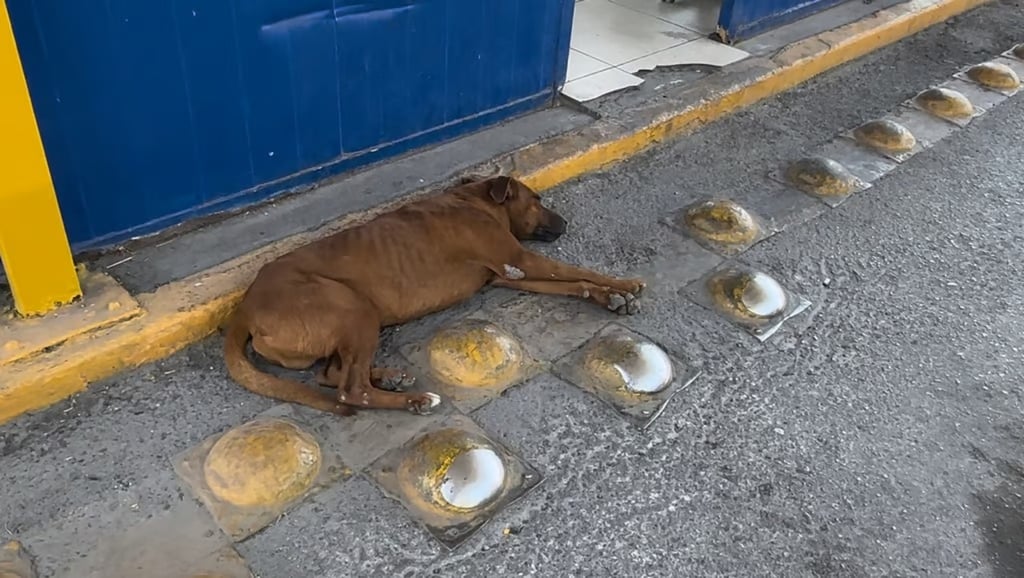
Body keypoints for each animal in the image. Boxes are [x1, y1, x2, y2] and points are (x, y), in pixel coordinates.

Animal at [225, 175, 647, 416]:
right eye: (537, 200)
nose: (566, 222)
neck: (474, 199)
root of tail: (244, 307)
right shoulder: (519, 260)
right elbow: (579, 271)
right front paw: (623, 285)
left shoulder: (510, 276)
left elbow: (575, 282)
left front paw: (610, 295)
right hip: (354, 309)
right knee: (350, 391)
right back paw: (414, 400)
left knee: (330, 374)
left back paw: (390, 376)